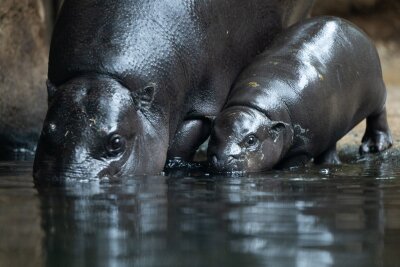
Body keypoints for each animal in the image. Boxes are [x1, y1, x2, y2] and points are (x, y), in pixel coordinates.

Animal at [32, 0, 314, 182]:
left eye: (116, 142)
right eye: (46, 132)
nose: (65, 181)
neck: (101, 75)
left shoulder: (201, 106)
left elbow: (180, 145)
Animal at [208, 16, 392, 174]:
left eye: (251, 140)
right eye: (213, 134)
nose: (222, 159)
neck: (257, 107)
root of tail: (355, 27)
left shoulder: (302, 149)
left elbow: (291, 164)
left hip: (376, 92)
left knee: (379, 113)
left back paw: (374, 146)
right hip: (334, 122)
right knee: (330, 145)